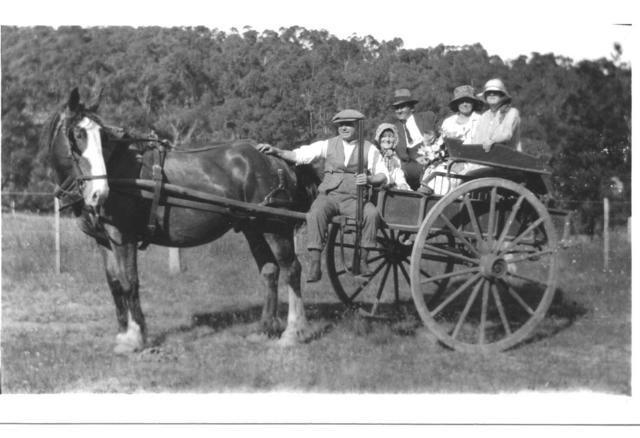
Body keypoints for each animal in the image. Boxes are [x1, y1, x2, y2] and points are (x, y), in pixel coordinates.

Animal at [42, 89, 318, 352]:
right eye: (76, 135)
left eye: (103, 137)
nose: (99, 192)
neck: (118, 170)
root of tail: (277, 159)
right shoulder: (104, 240)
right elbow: (114, 284)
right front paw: (122, 334)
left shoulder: (123, 236)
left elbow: (130, 282)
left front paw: (135, 338)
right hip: (253, 227)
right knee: (270, 270)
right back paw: (264, 329)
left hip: (275, 226)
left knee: (291, 269)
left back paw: (293, 332)